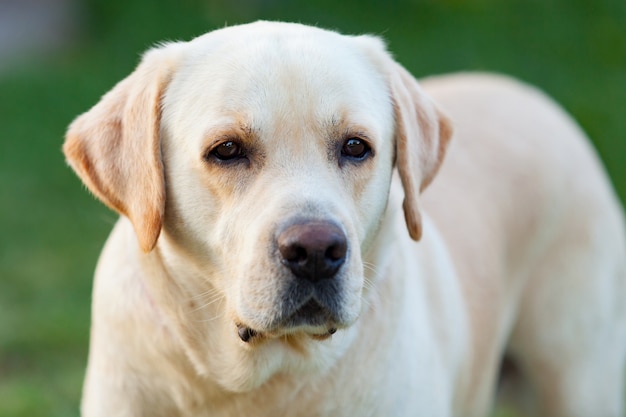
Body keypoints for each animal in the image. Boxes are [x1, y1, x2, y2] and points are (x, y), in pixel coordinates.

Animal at [64, 21, 624, 414]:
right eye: (226, 150)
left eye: (356, 147)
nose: (315, 251)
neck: (256, 382)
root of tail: (529, 94)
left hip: (580, 380)